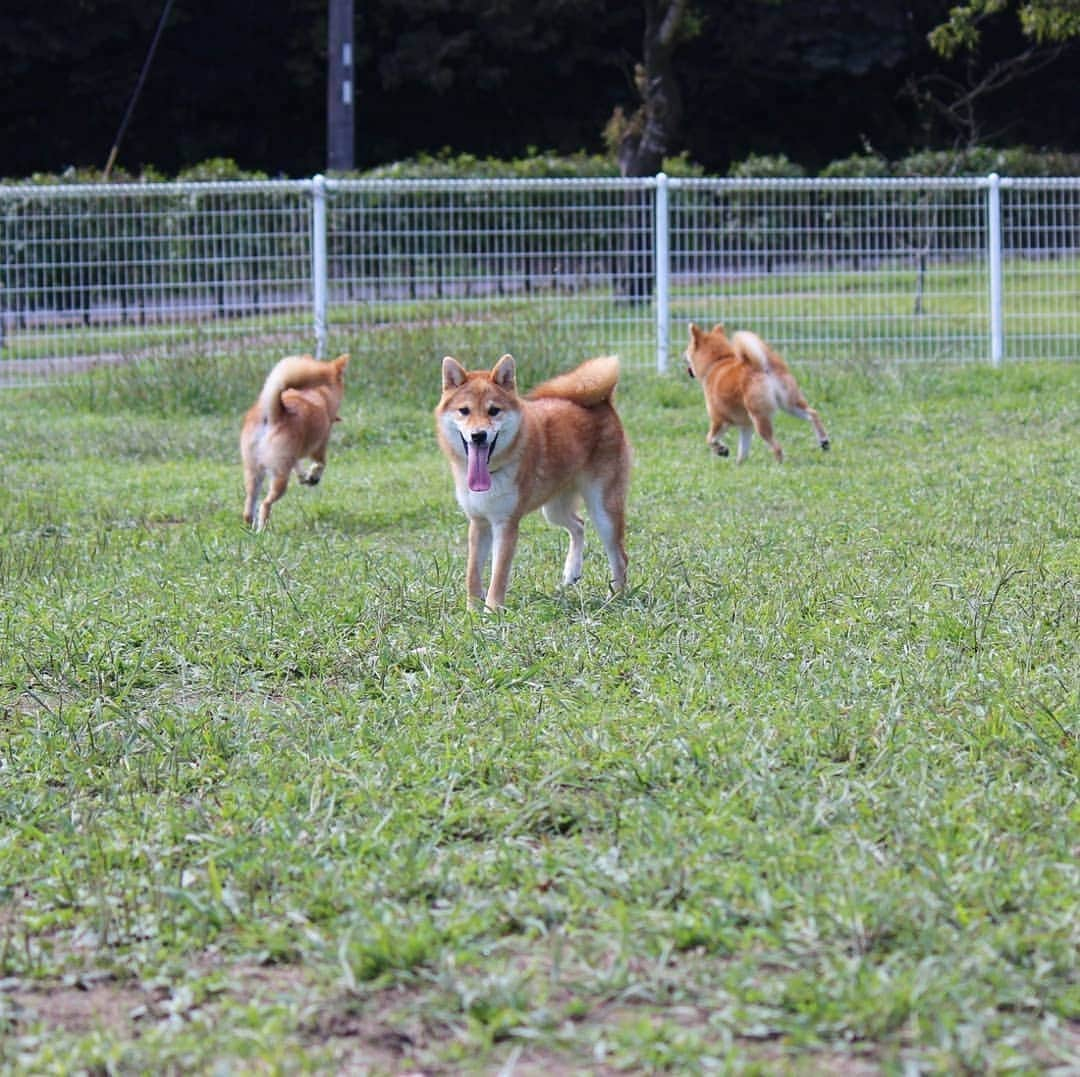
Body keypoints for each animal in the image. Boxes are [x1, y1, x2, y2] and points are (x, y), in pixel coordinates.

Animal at [241, 352, 349, 529]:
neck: (317, 391)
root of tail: (274, 414)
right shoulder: (319, 447)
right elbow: (320, 464)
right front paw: (313, 476)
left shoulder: (293, 455)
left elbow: (298, 466)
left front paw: (305, 477)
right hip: (279, 477)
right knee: (265, 503)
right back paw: (262, 529)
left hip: (254, 471)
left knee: (249, 508)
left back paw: (251, 525)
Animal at [432, 349, 630, 609]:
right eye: (464, 411)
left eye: (493, 411)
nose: (478, 435)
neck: (493, 472)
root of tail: (603, 401)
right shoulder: (479, 522)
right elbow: (472, 573)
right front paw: (472, 609)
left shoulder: (506, 524)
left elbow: (498, 575)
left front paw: (492, 609)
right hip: (554, 509)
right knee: (578, 525)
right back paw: (572, 571)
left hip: (603, 510)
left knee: (620, 557)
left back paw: (616, 596)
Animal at [686, 324, 829, 466]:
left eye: (687, 349)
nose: (683, 354)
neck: (717, 362)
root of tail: (762, 367)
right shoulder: (746, 426)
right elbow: (743, 451)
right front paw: (739, 465)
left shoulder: (720, 420)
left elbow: (710, 439)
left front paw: (722, 450)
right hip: (790, 404)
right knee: (813, 414)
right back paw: (824, 441)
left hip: (760, 418)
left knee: (777, 447)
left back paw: (779, 465)